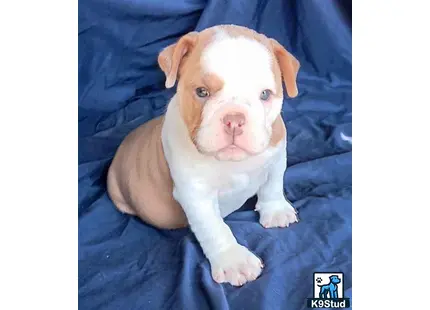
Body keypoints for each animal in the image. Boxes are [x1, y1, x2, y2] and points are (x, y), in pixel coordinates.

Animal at [107, 24, 298, 286]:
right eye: (202, 92)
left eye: (265, 95)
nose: (234, 120)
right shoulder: (195, 194)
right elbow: (215, 228)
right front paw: (234, 261)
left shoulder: (277, 157)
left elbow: (273, 185)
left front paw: (276, 210)